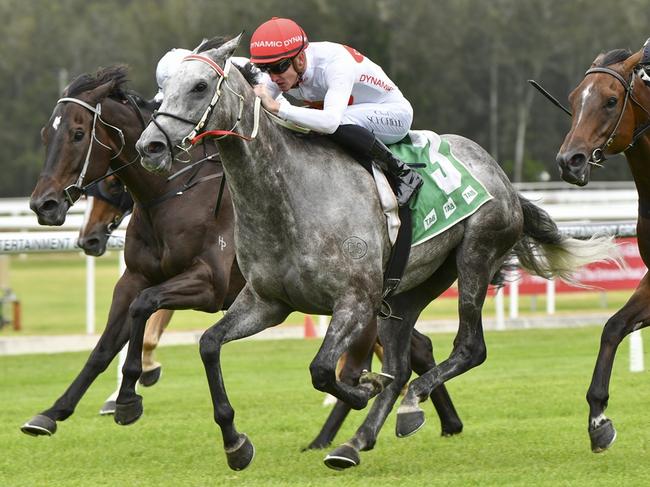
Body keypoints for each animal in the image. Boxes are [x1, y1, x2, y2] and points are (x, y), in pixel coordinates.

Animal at [21, 66, 460, 450]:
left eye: (78, 134)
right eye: (45, 134)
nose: (45, 205)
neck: (174, 196)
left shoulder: (209, 285)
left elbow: (144, 310)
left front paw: (130, 393)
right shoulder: (134, 278)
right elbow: (105, 345)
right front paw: (52, 413)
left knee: (374, 361)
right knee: (413, 350)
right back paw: (438, 421)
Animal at [133, 35, 616, 472]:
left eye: (199, 86)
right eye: (162, 88)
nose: (149, 147)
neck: (287, 195)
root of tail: (502, 178)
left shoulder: (354, 301)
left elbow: (323, 370)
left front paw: (363, 388)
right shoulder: (266, 302)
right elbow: (209, 345)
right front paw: (236, 444)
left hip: (475, 255)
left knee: (469, 348)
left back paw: (409, 405)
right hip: (408, 291)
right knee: (401, 366)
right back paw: (355, 442)